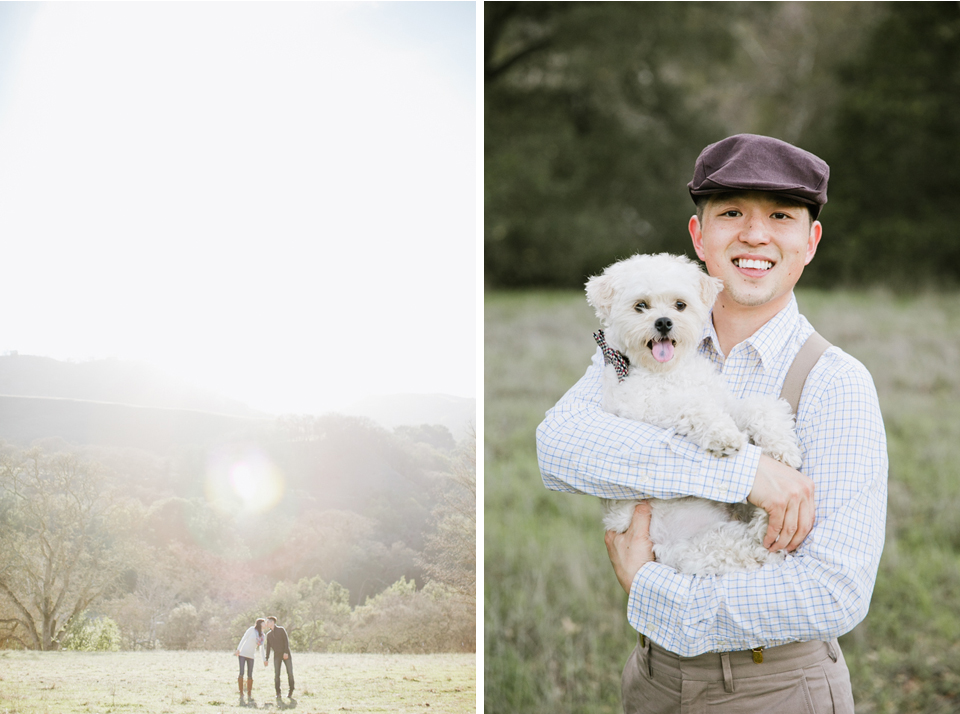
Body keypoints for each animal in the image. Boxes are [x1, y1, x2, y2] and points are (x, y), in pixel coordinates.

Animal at [584, 252, 804, 572]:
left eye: (680, 305)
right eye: (641, 305)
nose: (664, 322)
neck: (670, 371)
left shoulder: (723, 400)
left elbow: (756, 405)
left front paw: (782, 445)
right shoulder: (644, 408)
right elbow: (692, 406)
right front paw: (724, 436)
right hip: (704, 548)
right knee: (753, 548)